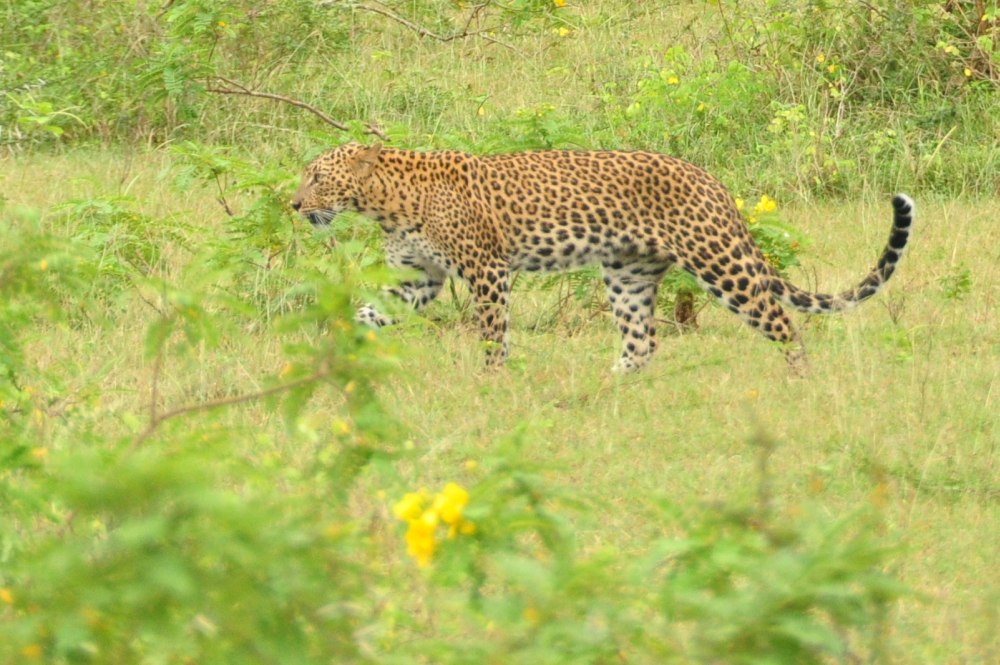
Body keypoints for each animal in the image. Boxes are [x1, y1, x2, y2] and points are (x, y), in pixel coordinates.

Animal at [291, 142, 913, 373]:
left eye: (317, 177)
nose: (293, 204)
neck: (386, 203)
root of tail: (712, 180)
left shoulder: (486, 269)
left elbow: (493, 332)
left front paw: (491, 380)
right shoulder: (417, 278)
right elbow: (369, 311)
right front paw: (328, 345)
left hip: (720, 263)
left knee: (783, 323)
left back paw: (798, 380)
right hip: (628, 273)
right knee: (643, 341)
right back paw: (610, 385)